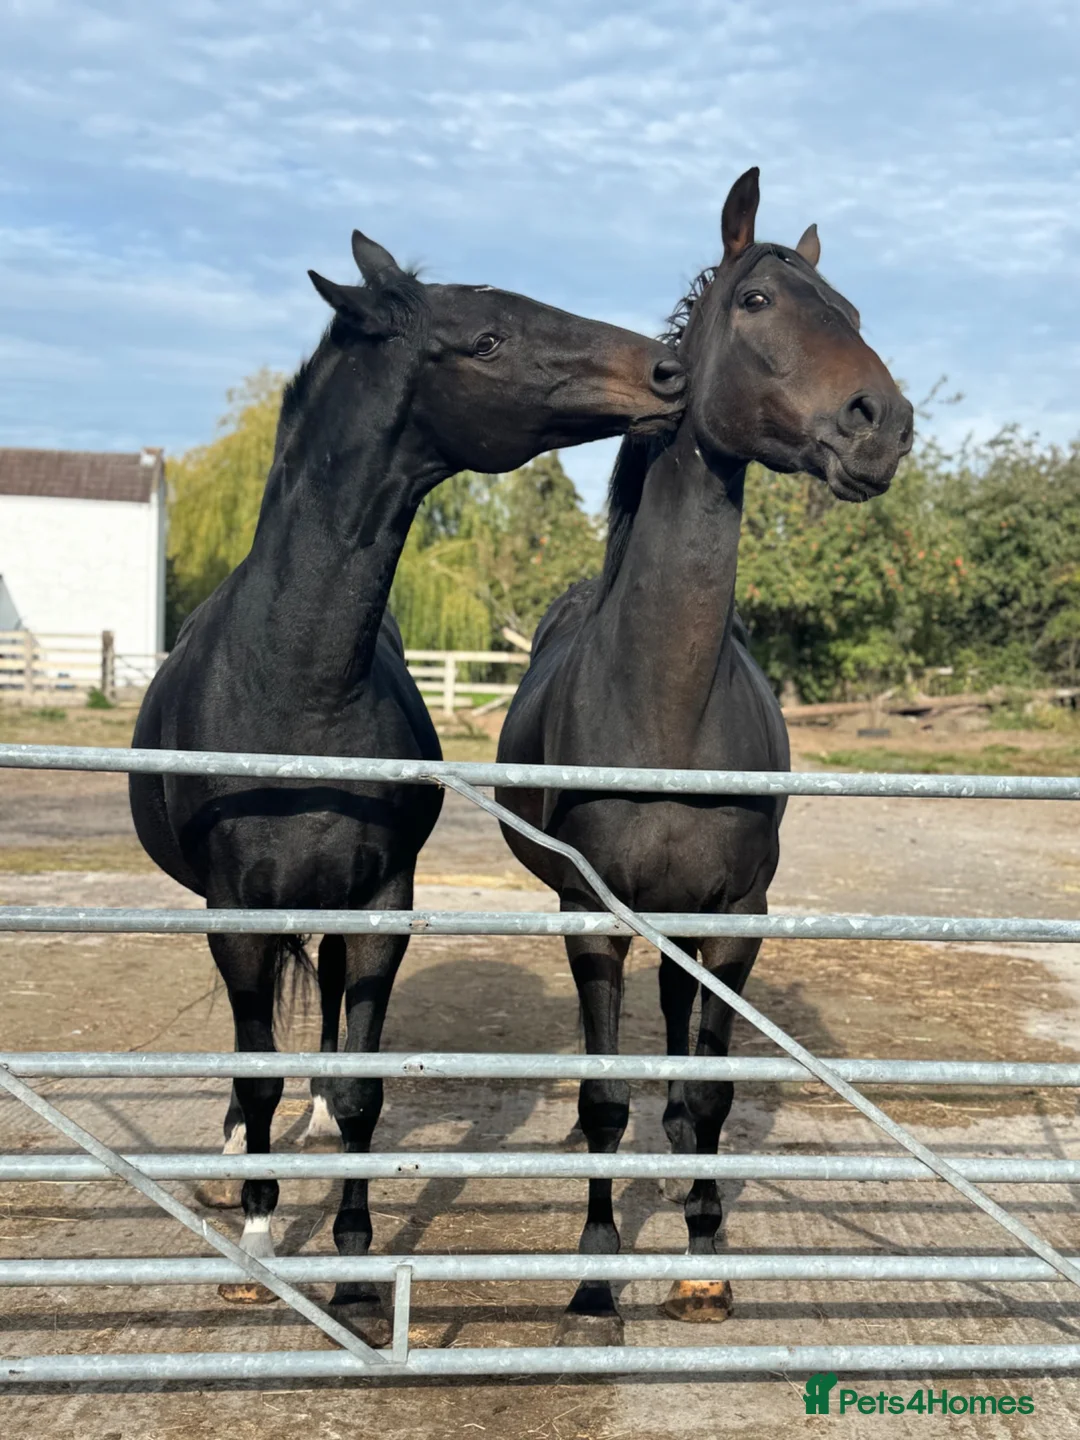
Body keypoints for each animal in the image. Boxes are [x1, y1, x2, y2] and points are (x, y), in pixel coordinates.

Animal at [129, 230, 686, 1343]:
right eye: (489, 336)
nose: (665, 373)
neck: (293, 688)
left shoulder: (384, 902)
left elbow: (360, 1093)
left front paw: (353, 1263)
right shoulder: (233, 913)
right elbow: (255, 1076)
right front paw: (260, 1245)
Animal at [494, 168, 914, 1346]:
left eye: (853, 310)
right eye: (760, 303)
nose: (883, 423)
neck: (665, 711)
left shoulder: (735, 919)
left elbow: (715, 1087)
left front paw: (707, 1255)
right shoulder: (593, 918)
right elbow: (602, 1097)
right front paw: (595, 1278)